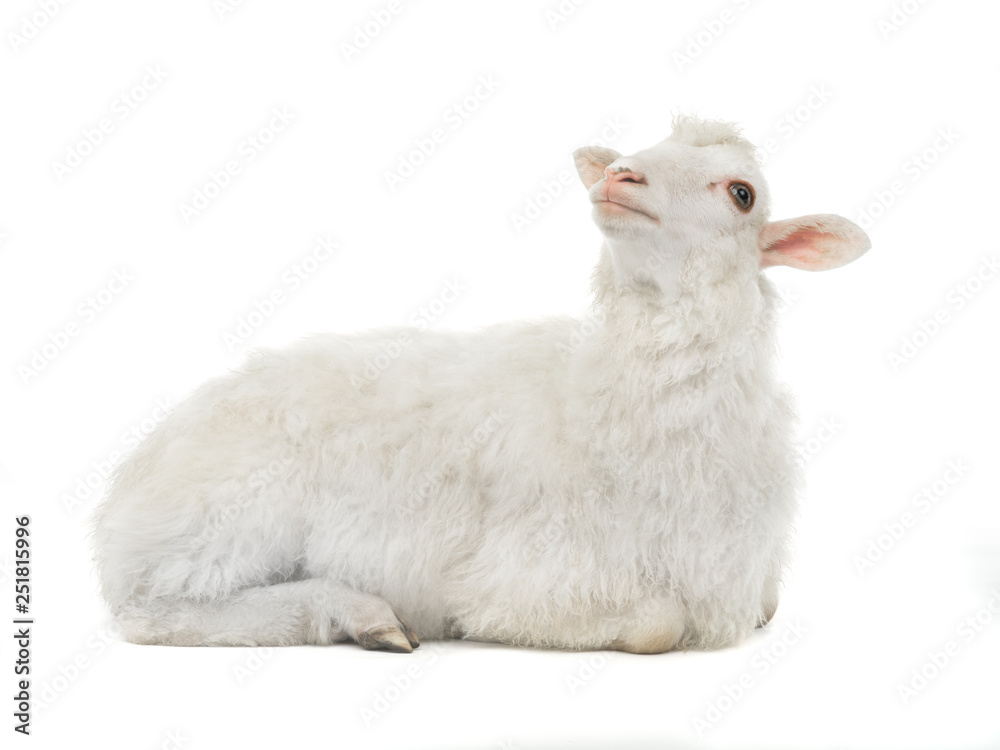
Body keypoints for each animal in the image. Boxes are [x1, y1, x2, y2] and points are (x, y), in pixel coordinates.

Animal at [92, 115, 870, 654]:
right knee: (159, 612)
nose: (619, 175)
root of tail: (131, 483)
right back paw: (361, 615)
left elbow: (766, 606)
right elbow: (657, 621)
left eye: (742, 194)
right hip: (227, 517)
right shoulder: (520, 578)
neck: (597, 397)